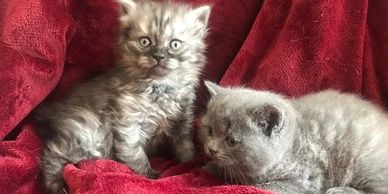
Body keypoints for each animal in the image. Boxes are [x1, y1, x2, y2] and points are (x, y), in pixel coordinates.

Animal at [36, 0, 211, 193]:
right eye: (144, 42)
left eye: (175, 44)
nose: (158, 56)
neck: (159, 88)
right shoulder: (128, 122)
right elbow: (134, 153)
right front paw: (149, 176)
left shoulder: (182, 122)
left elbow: (186, 149)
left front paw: (190, 165)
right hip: (88, 131)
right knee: (53, 154)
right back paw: (56, 185)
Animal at [199, 81, 388, 193]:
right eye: (210, 131)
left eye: (231, 141)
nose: (211, 149)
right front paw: (210, 167)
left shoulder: (305, 177)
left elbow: (268, 186)